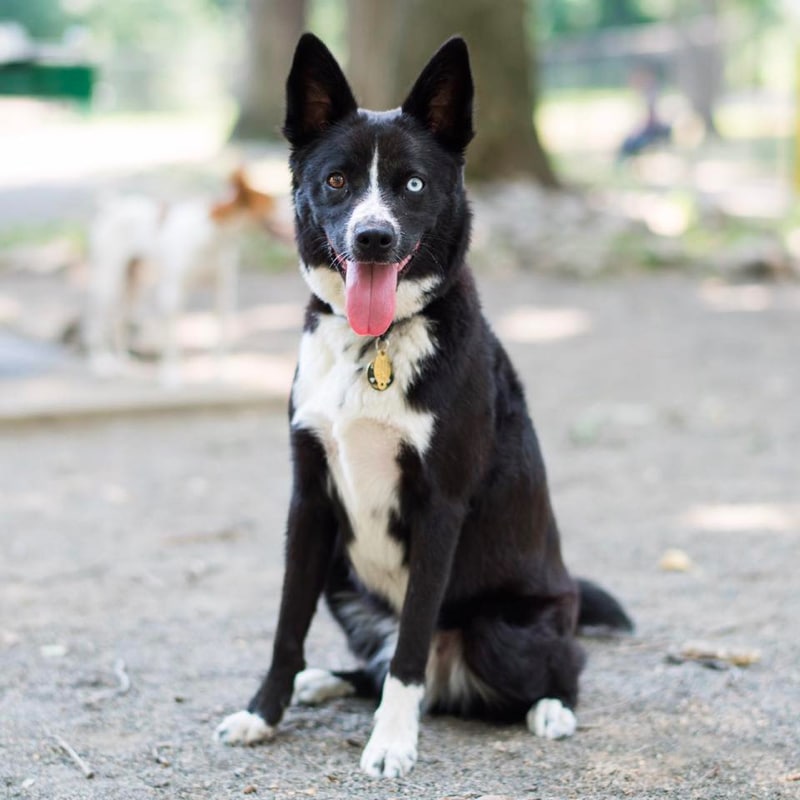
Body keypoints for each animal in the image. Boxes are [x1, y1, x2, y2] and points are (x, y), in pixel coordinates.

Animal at [217, 32, 632, 776]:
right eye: (336, 182)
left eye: (412, 184)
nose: (373, 238)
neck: (373, 342)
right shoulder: (309, 502)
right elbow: (286, 627)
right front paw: (264, 714)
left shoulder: (439, 508)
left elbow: (409, 644)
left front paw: (390, 743)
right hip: (342, 570)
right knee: (374, 667)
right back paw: (328, 682)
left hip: (506, 634)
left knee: (562, 662)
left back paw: (551, 708)